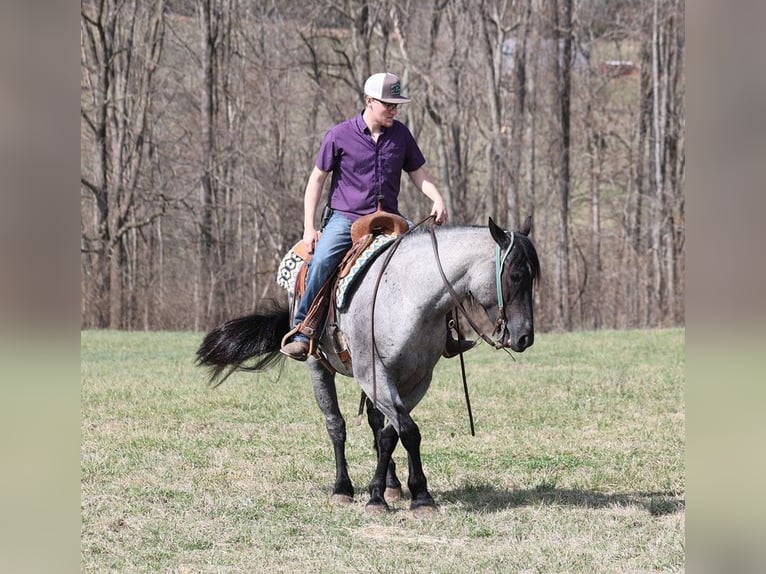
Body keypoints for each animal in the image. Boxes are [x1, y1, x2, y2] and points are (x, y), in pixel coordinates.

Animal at [198, 216, 544, 516]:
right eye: (515, 276)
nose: (525, 337)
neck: (408, 296)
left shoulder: (417, 380)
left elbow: (394, 433)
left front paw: (396, 492)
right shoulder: (372, 373)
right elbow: (407, 431)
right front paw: (408, 497)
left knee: (377, 425)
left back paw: (391, 483)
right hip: (318, 367)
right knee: (336, 426)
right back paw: (342, 488)